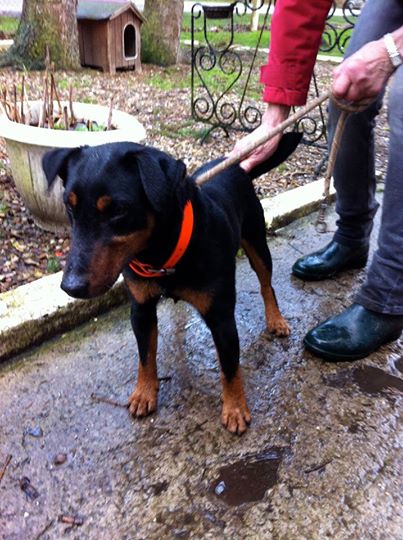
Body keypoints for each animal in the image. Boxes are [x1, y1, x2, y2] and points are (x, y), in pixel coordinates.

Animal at [42, 134, 302, 434]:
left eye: (119, 210)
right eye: (69, 206)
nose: (71, 286)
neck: (161, 254)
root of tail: (237, 167)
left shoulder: (222, 317)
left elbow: (229, 365)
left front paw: (235, 408)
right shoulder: (141, 309)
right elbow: (146, 354)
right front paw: (144, 393)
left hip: (257, 239)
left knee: (266, 283)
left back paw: (276, 319)